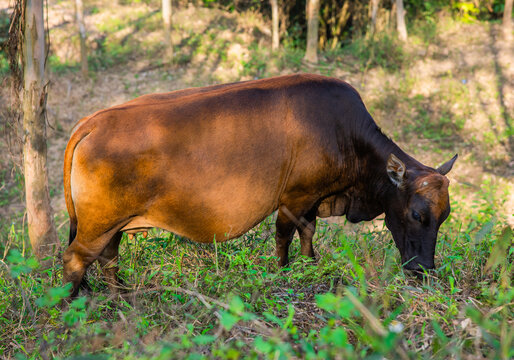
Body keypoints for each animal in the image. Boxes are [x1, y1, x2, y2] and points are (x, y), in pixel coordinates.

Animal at [62, 73, 454, 296]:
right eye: (417, 214)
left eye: (443, 217)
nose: (424, 269)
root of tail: (92, 122)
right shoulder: (294, 199)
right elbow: (284, 238)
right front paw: (283, 272)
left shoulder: (312, 200)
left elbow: (308, 235)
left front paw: (309, 264)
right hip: (96, 225)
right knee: (75, 260)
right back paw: (72, 307)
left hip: (112, 224)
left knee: (109, 258)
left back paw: (120, 297)